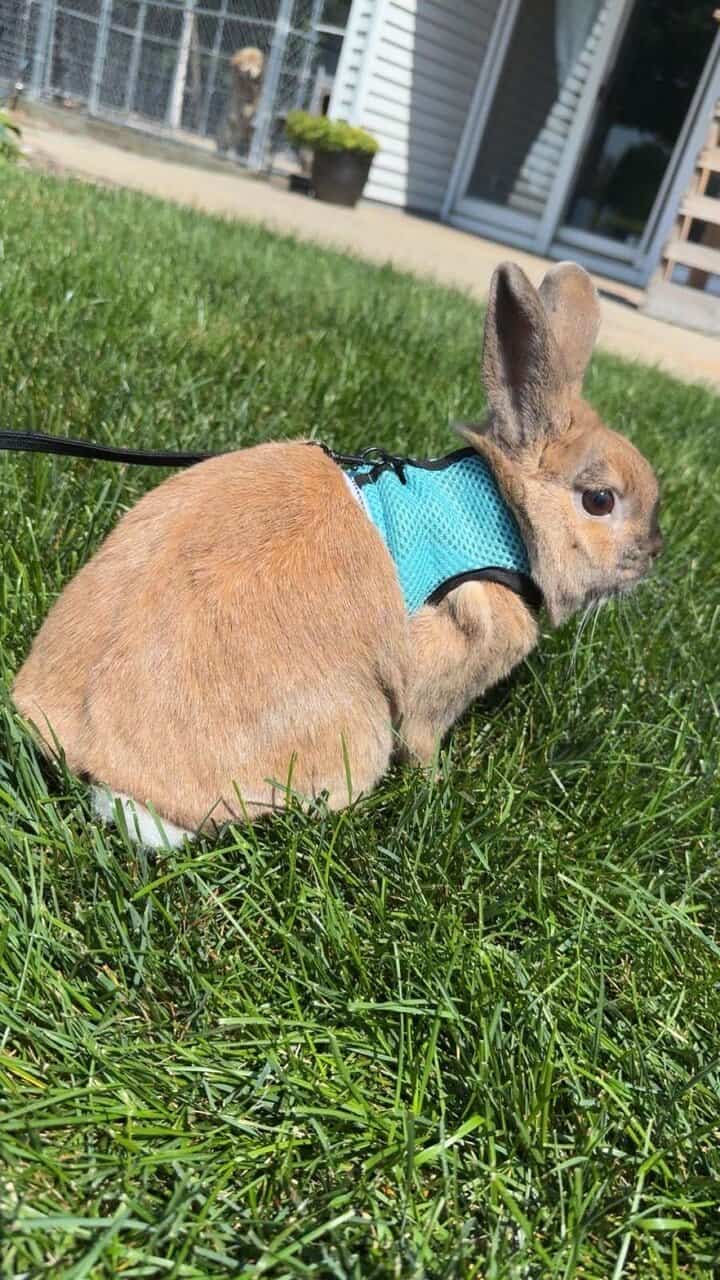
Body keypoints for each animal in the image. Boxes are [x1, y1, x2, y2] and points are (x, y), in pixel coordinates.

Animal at [12, 261, 662, 847]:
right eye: (599, 500)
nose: (654, 552)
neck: (505, 516)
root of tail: (83, 750)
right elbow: (422, 736)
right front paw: (439, 782)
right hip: (358, 732)